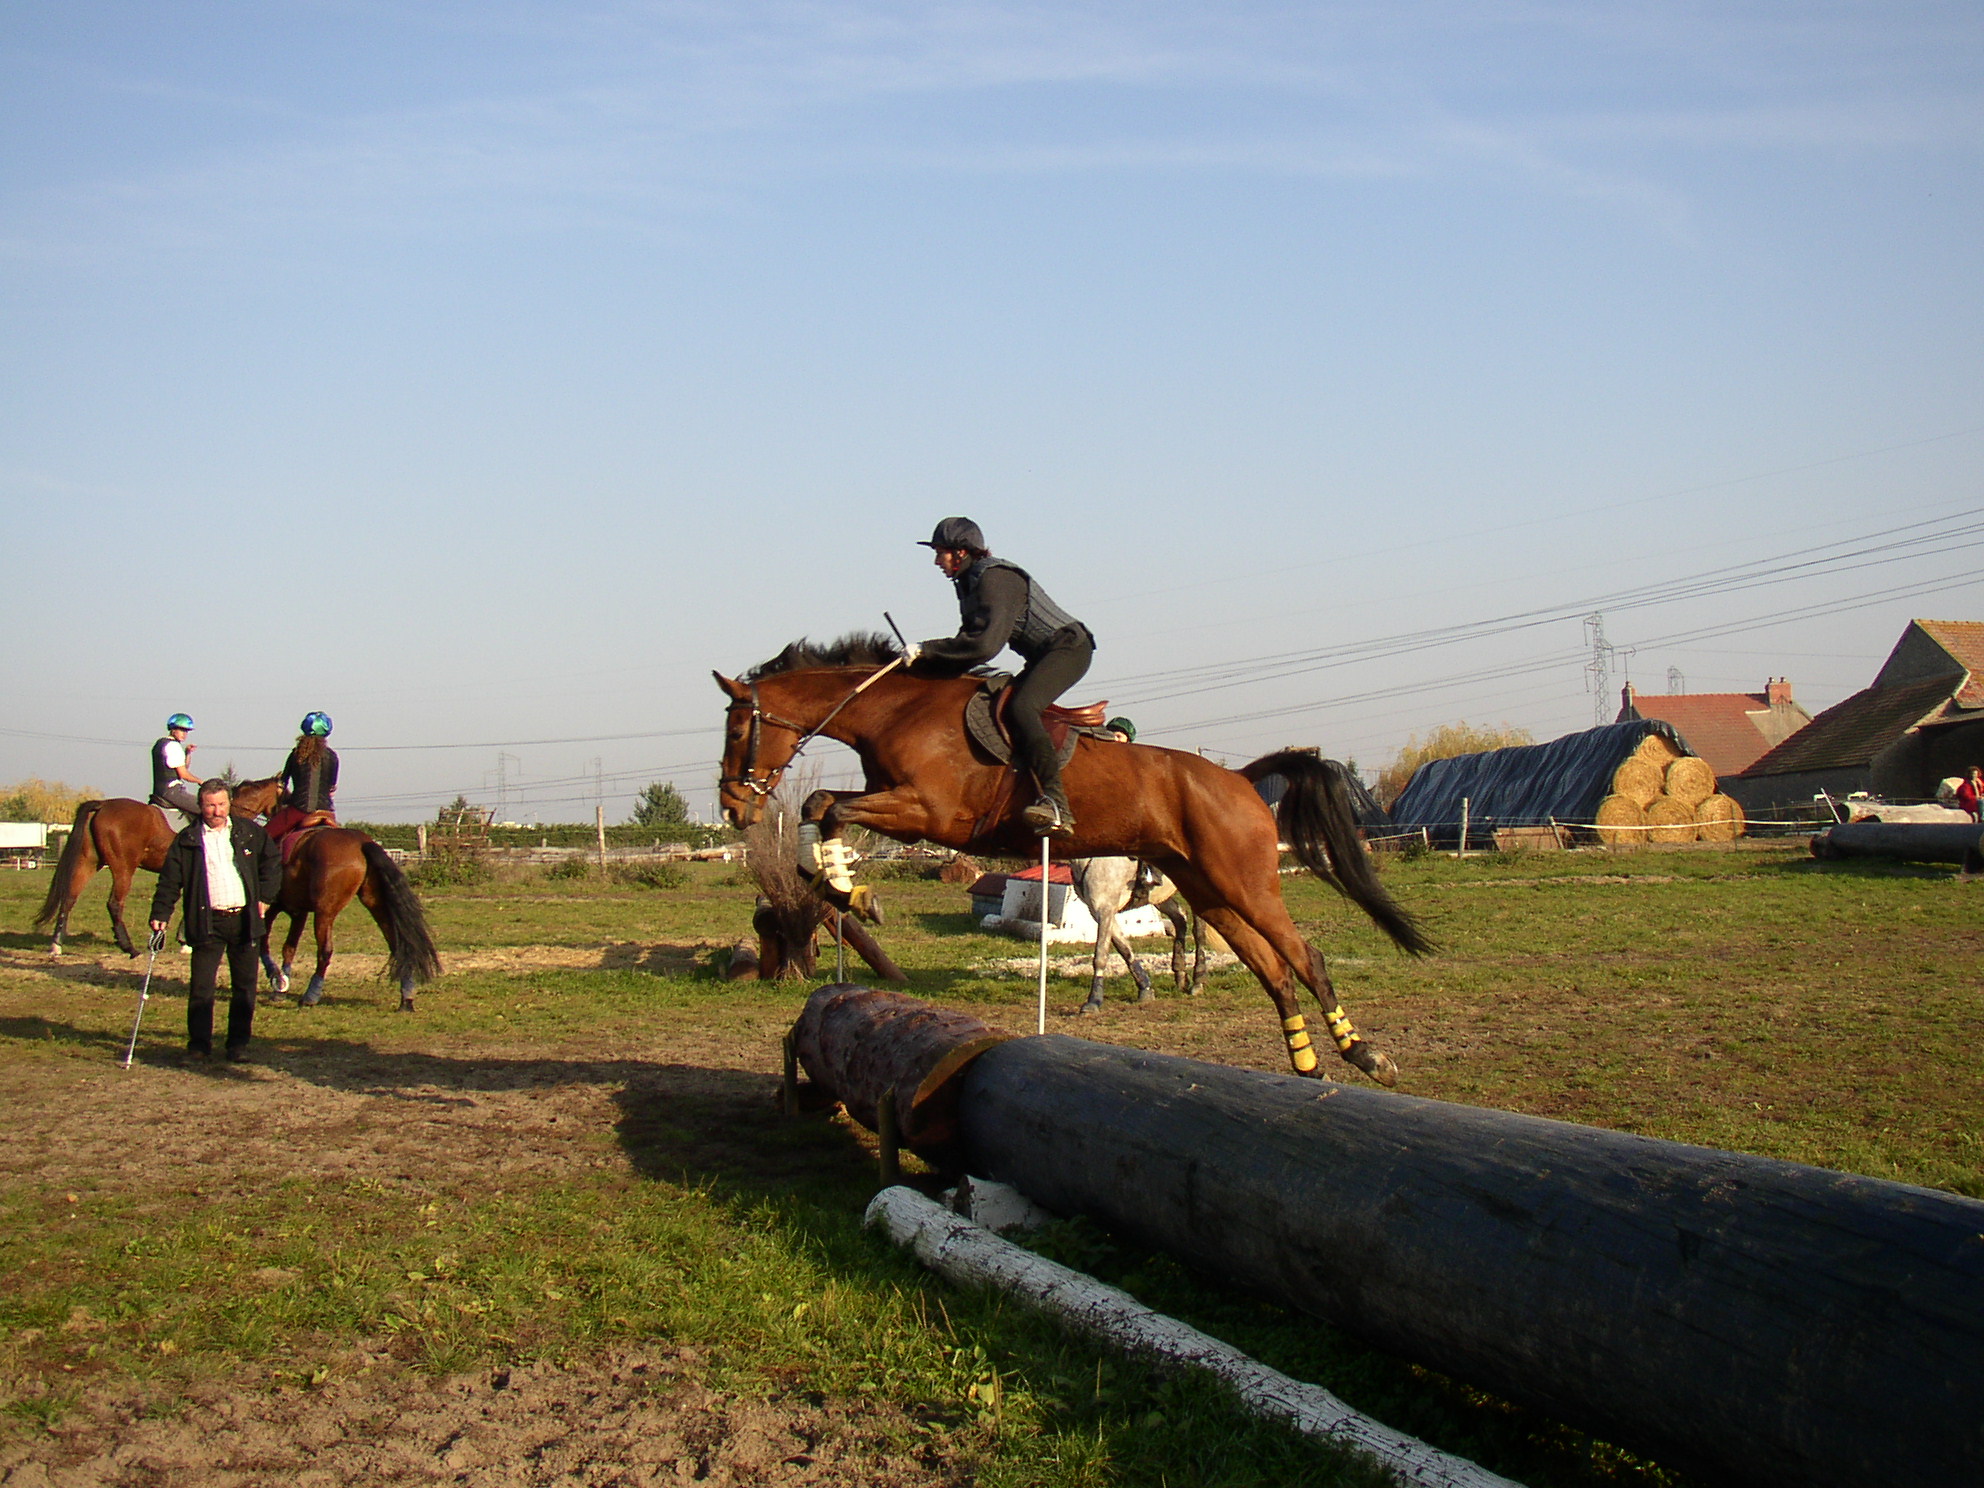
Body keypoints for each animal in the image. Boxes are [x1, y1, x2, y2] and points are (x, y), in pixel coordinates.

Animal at [1068, 856, 1208, 1013]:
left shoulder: (1104, 908)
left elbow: (1100, 955)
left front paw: (1093, 1001)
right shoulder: (1099, 911)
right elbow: (1124, 949)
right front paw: (1145, 988)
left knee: (1199, 931)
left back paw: (1198, 981)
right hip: (1159, 896)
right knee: (1180, 918)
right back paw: (1180, 974)